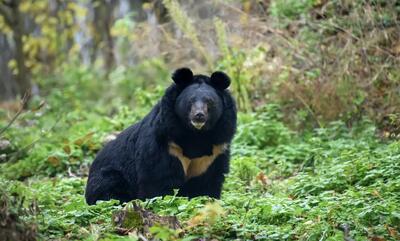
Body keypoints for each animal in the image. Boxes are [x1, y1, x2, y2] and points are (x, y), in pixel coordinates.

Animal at [83, 68, 234, 205]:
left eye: (210, 102)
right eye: (190, 101)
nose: (199, 116)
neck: (196, 134)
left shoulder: (214, 152)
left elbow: (207, 182)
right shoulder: (166, 144)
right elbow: (159, 178)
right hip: (109, 175)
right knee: (109, 190)